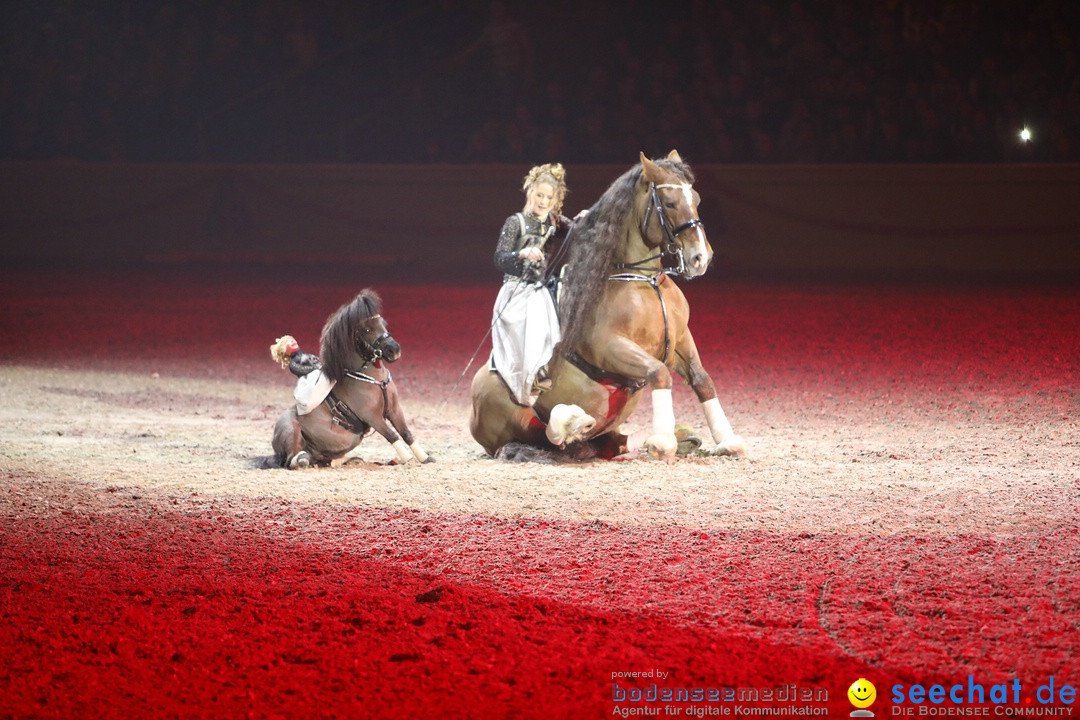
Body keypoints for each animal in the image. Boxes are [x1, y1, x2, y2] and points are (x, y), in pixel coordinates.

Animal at [270, 289, 429, 470]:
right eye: (366, 329)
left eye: (383, 323)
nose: (394, 350)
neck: (375, 382)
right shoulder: (372, 417)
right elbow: (392, 435)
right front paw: (407, 458)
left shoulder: (394, 409)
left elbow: (406, 433)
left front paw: (425, 457)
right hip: (291, 429)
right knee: (292, 459)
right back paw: (303, 459)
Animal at [468, 153, 747, 464]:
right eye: (670, 203)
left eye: (695, 198)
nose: (700, 257)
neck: (643, 280)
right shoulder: (610, 347)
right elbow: (659, 373)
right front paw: (662, 442)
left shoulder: (680, 339)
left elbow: (702, 380)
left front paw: (728, 441)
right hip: (507, 412)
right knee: (542, 437)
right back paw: (572, 423)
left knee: (608, 442)